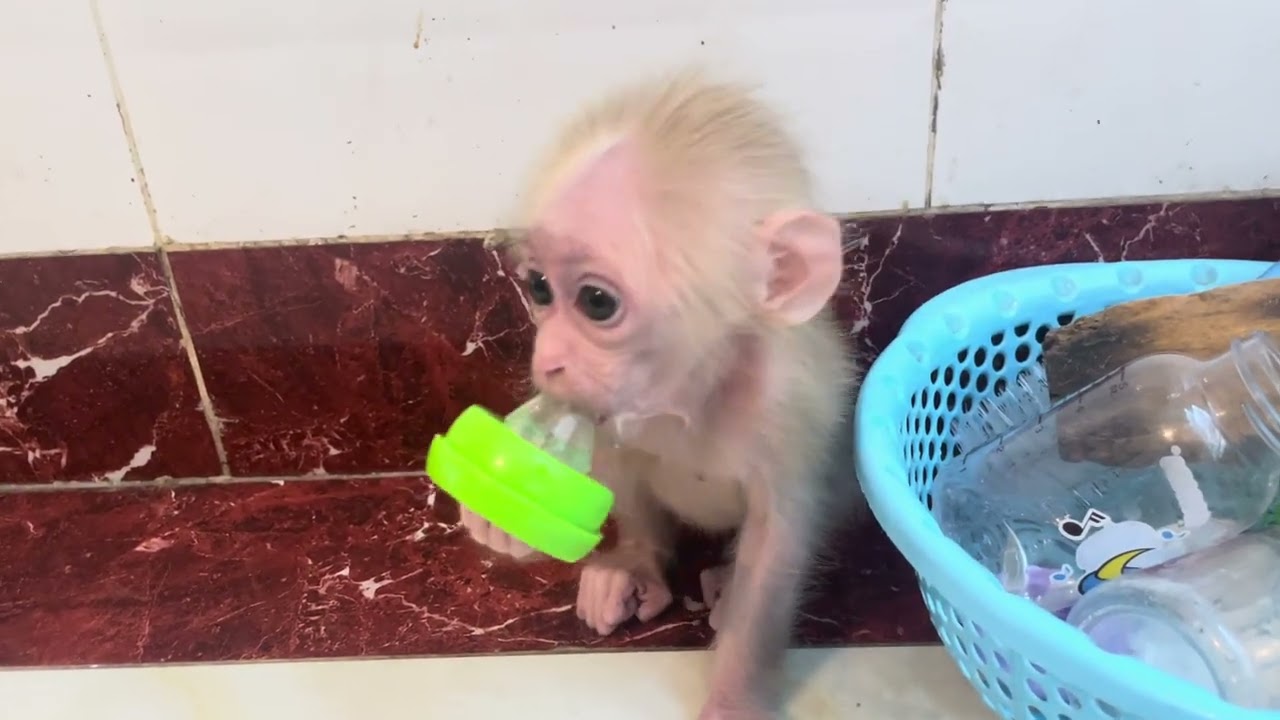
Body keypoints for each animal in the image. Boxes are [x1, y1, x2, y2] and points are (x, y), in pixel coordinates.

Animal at [459, 70, 863, 719]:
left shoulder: (785, 405)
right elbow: (605, 450)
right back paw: (635, 567)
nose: (547, 361)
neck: (693, 391)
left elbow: (778, 539)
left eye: (597, 302)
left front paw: (733, 696)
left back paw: (722, 584)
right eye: (539, 288)